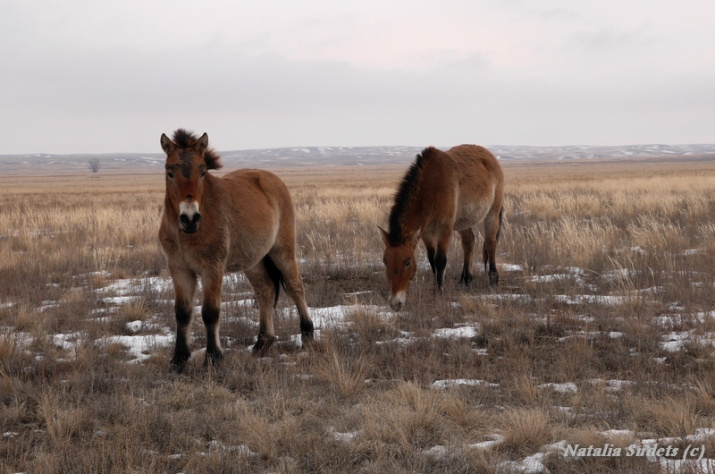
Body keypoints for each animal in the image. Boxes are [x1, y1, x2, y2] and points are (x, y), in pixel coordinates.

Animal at [158, 130, 314, 370]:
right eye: (169, 172)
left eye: (202, 171)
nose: (190, 218)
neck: (186, 234)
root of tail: (272, 179)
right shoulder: (179, 269)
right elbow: (182, 313)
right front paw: (179, 359)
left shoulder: (212, 267)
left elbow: (210, 312)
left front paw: (213, 357)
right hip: (254, 261)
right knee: (265, 291)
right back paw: (262, 343)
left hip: (283, 252)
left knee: (296, 287)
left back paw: (307, 336)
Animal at [380, 144, 504, 312]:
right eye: (385, 261)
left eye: (407, 262)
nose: (395, 303)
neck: (432, 185)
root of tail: (491, 157)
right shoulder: (426, 232)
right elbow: (432, 260)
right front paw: (436, 286)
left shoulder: (445, 229)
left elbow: (440, 260)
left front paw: (439, 291)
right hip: (464, 222)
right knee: (468, 242)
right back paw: (465, 279)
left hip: (492, 213)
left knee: (491, 243)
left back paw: (493, 279)